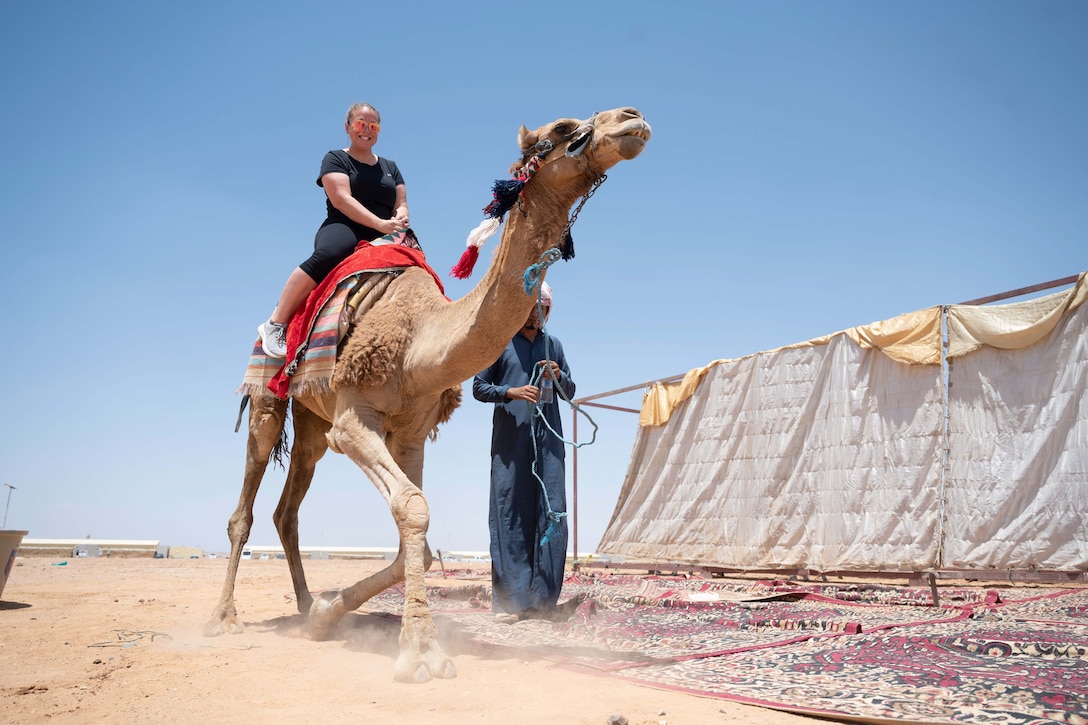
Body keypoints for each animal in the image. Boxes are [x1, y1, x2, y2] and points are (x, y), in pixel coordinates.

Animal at [204, 106, 648, 679]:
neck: (421, 339)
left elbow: (415, 532)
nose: (631, 118)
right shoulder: (356, 420)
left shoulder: (410, 431)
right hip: (270, 398)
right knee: (247, 502)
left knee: (289, 508)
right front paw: (421, 652)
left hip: (314, 422)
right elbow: (414, 510)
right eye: (560, 130)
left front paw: (329, 611)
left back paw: (305, 610)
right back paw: (224, 618)